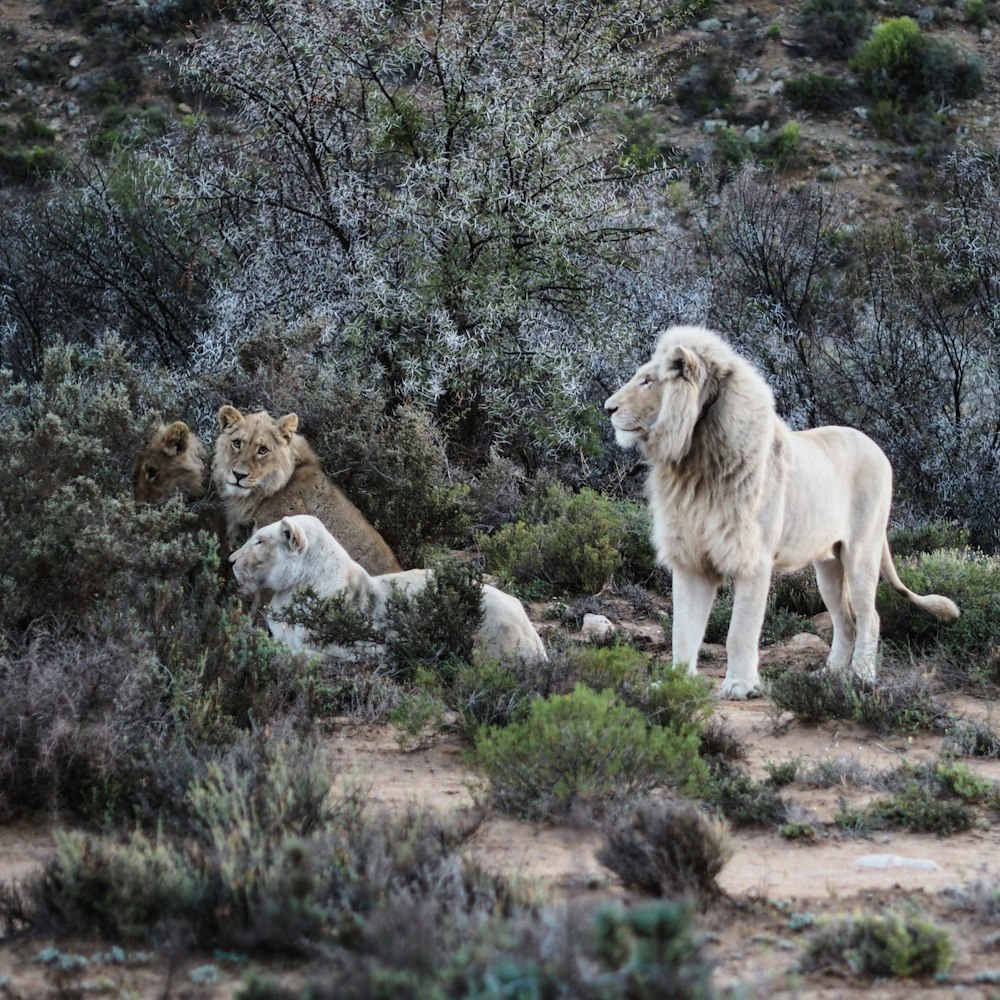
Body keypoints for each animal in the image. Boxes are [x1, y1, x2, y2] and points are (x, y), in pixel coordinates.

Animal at [604, 324, 956, 700]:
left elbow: (740, 631)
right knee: (844, 619)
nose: (607, 407)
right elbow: (683, 629)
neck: (695, 459)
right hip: (828, 566)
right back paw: (829, 676)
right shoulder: (691, 559)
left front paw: (740, 685)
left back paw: (861, 676)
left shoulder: (754, 559)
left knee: (869, 617)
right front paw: (675, 682)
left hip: (862, 553)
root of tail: (877, 447)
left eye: (647, 381)